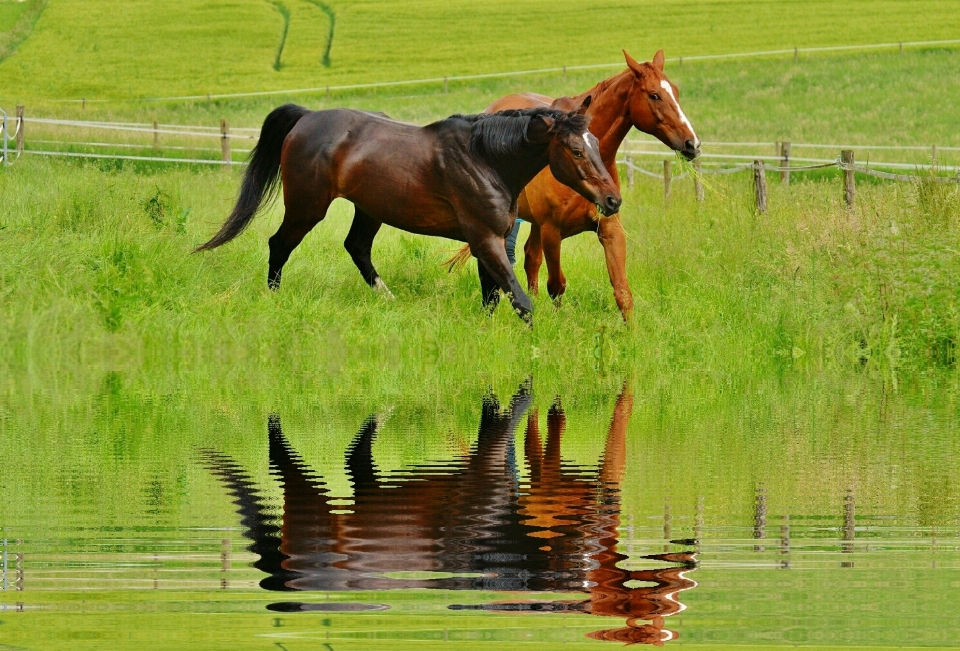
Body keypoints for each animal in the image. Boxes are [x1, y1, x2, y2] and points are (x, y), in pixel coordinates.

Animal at [195, 102, 624, 324]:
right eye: (576, 151)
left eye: (595, 144)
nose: (613, 201)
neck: (485, 159)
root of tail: (307, 117)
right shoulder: (485, 240)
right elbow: (520, 299)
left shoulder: (493, 240)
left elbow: (492, 297)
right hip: (307, 207)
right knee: (279, 244)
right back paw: (275, 298)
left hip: (368, 210)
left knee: (356, 247)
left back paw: (388, 299)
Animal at [450, 49, 696, 320]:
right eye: (654, 95)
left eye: (676, 92)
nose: (692, 144)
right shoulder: (552, 231)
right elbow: (556, 285)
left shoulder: (610, 228)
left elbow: (622, 291)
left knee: (530, 257)